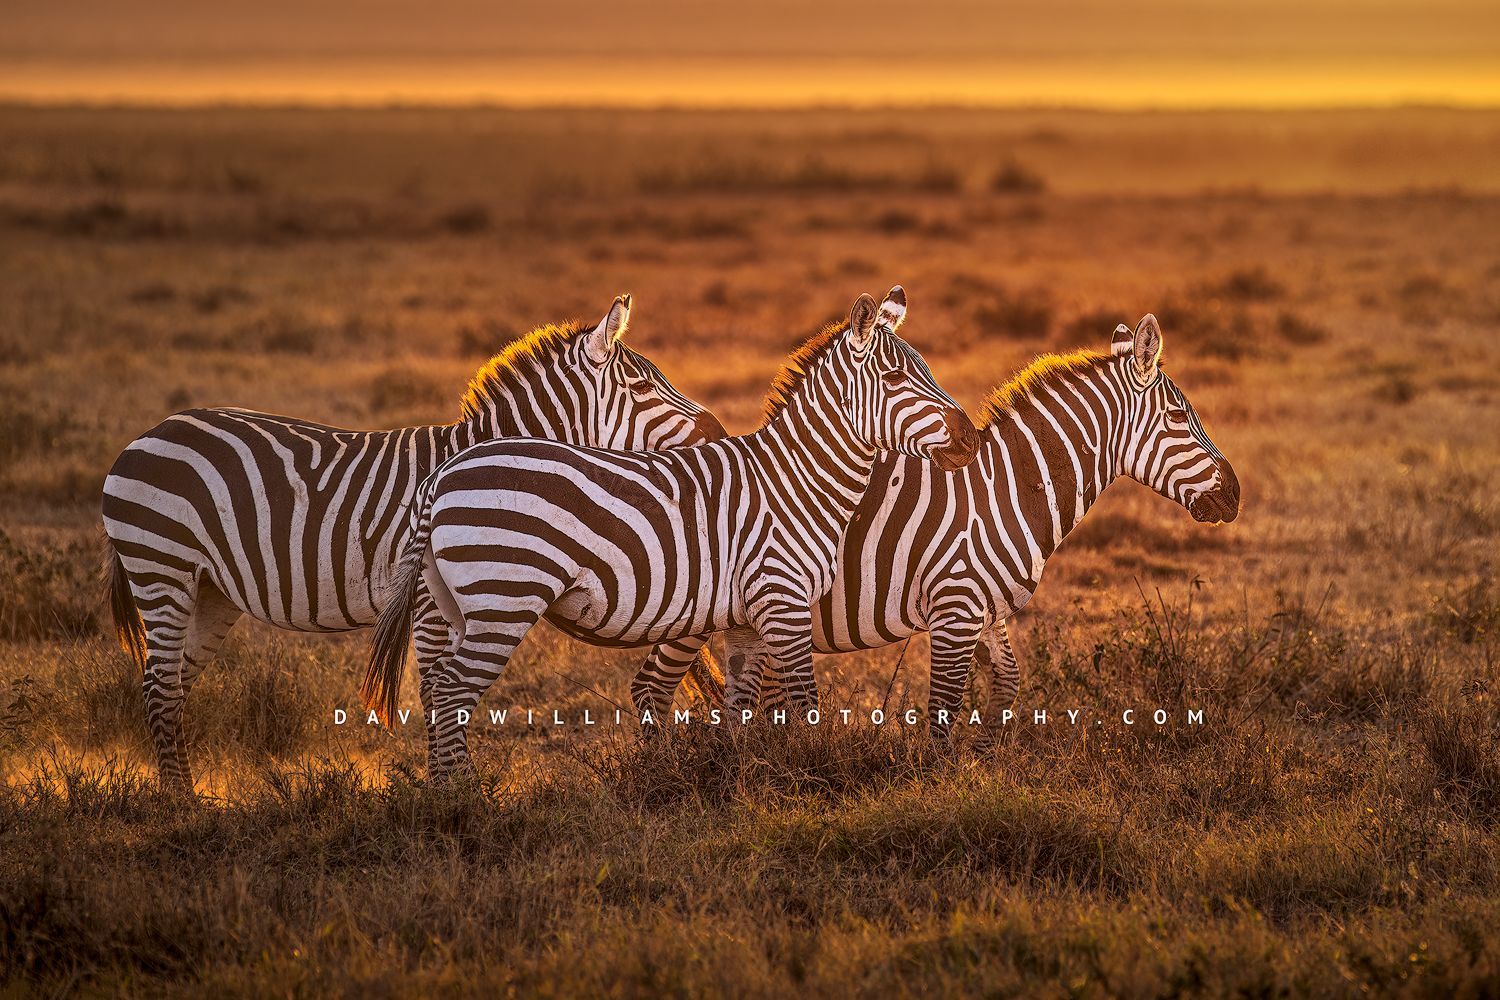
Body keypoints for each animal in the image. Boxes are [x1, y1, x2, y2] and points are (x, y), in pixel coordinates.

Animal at [104, 294, 724, 794]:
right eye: (642, 386)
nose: (717, 431)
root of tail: (149, 433)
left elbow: (443, 691)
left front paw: (446, 784)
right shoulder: (428, 602)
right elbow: (434, 691)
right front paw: (451, 791)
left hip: (211, 590)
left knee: (175, 685)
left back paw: (187, 792)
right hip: (162, 565)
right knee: (157, 685)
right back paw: (180, 804)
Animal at [363, 286, 982, 776]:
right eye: (896, 377)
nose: (971, 440)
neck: (797, 480)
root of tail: (443, 474)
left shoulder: (747, 619)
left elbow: (742, 705)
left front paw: (743, 776)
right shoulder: (783, 602)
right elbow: (803, 702)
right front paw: (817, 777)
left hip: (456, 604)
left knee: (438, 688)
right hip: (502, 599)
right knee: (451, 691)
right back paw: (461, 801)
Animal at [633, 314, 1240, 736]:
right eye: (1179, 417)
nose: (1234, 495)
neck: (1005, 492)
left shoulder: (988, 610)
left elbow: (1007, 686)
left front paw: (987, 762)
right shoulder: (955, 609)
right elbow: (944, 709)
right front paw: (942, 788)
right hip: (686, 611)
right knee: (650, 688)